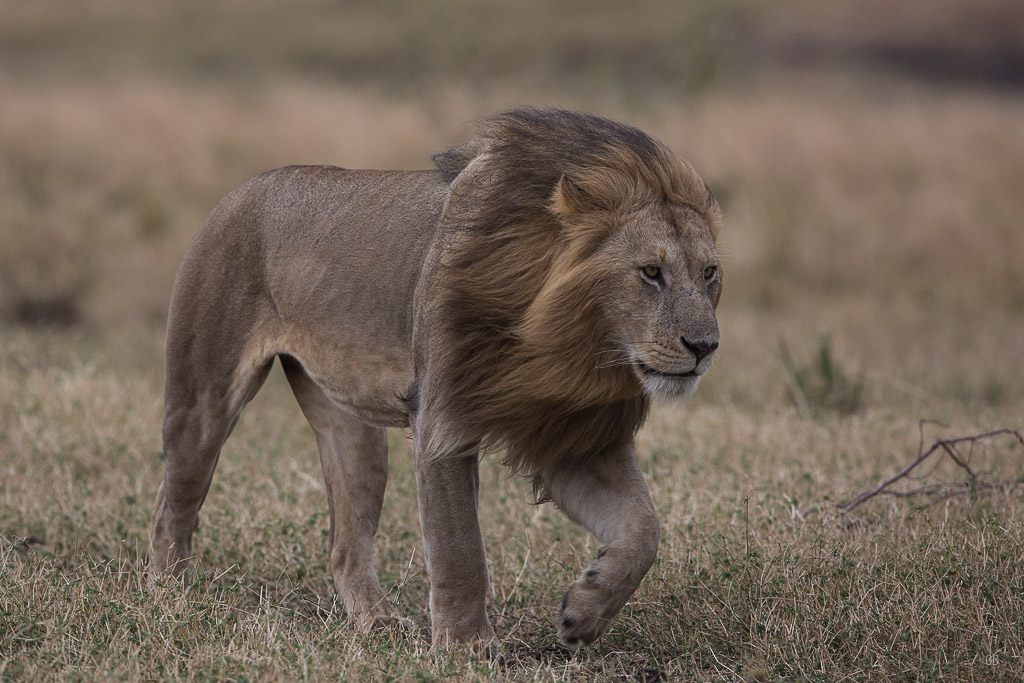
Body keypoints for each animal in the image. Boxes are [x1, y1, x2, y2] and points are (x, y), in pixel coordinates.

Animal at [149, 109, 720, 651]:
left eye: (709, 272)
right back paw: (172, 595)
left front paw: (586, 610)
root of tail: (242, 189)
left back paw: (377, 622)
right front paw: (468, 646)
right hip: (203, 400)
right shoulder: (444, 420)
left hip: (353, 431)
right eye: (650, 272)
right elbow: (459, 545)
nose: (705, 347)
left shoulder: (571, 435)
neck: (571, 349)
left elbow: (644, 528)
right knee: (172, 506)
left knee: (345, 545)